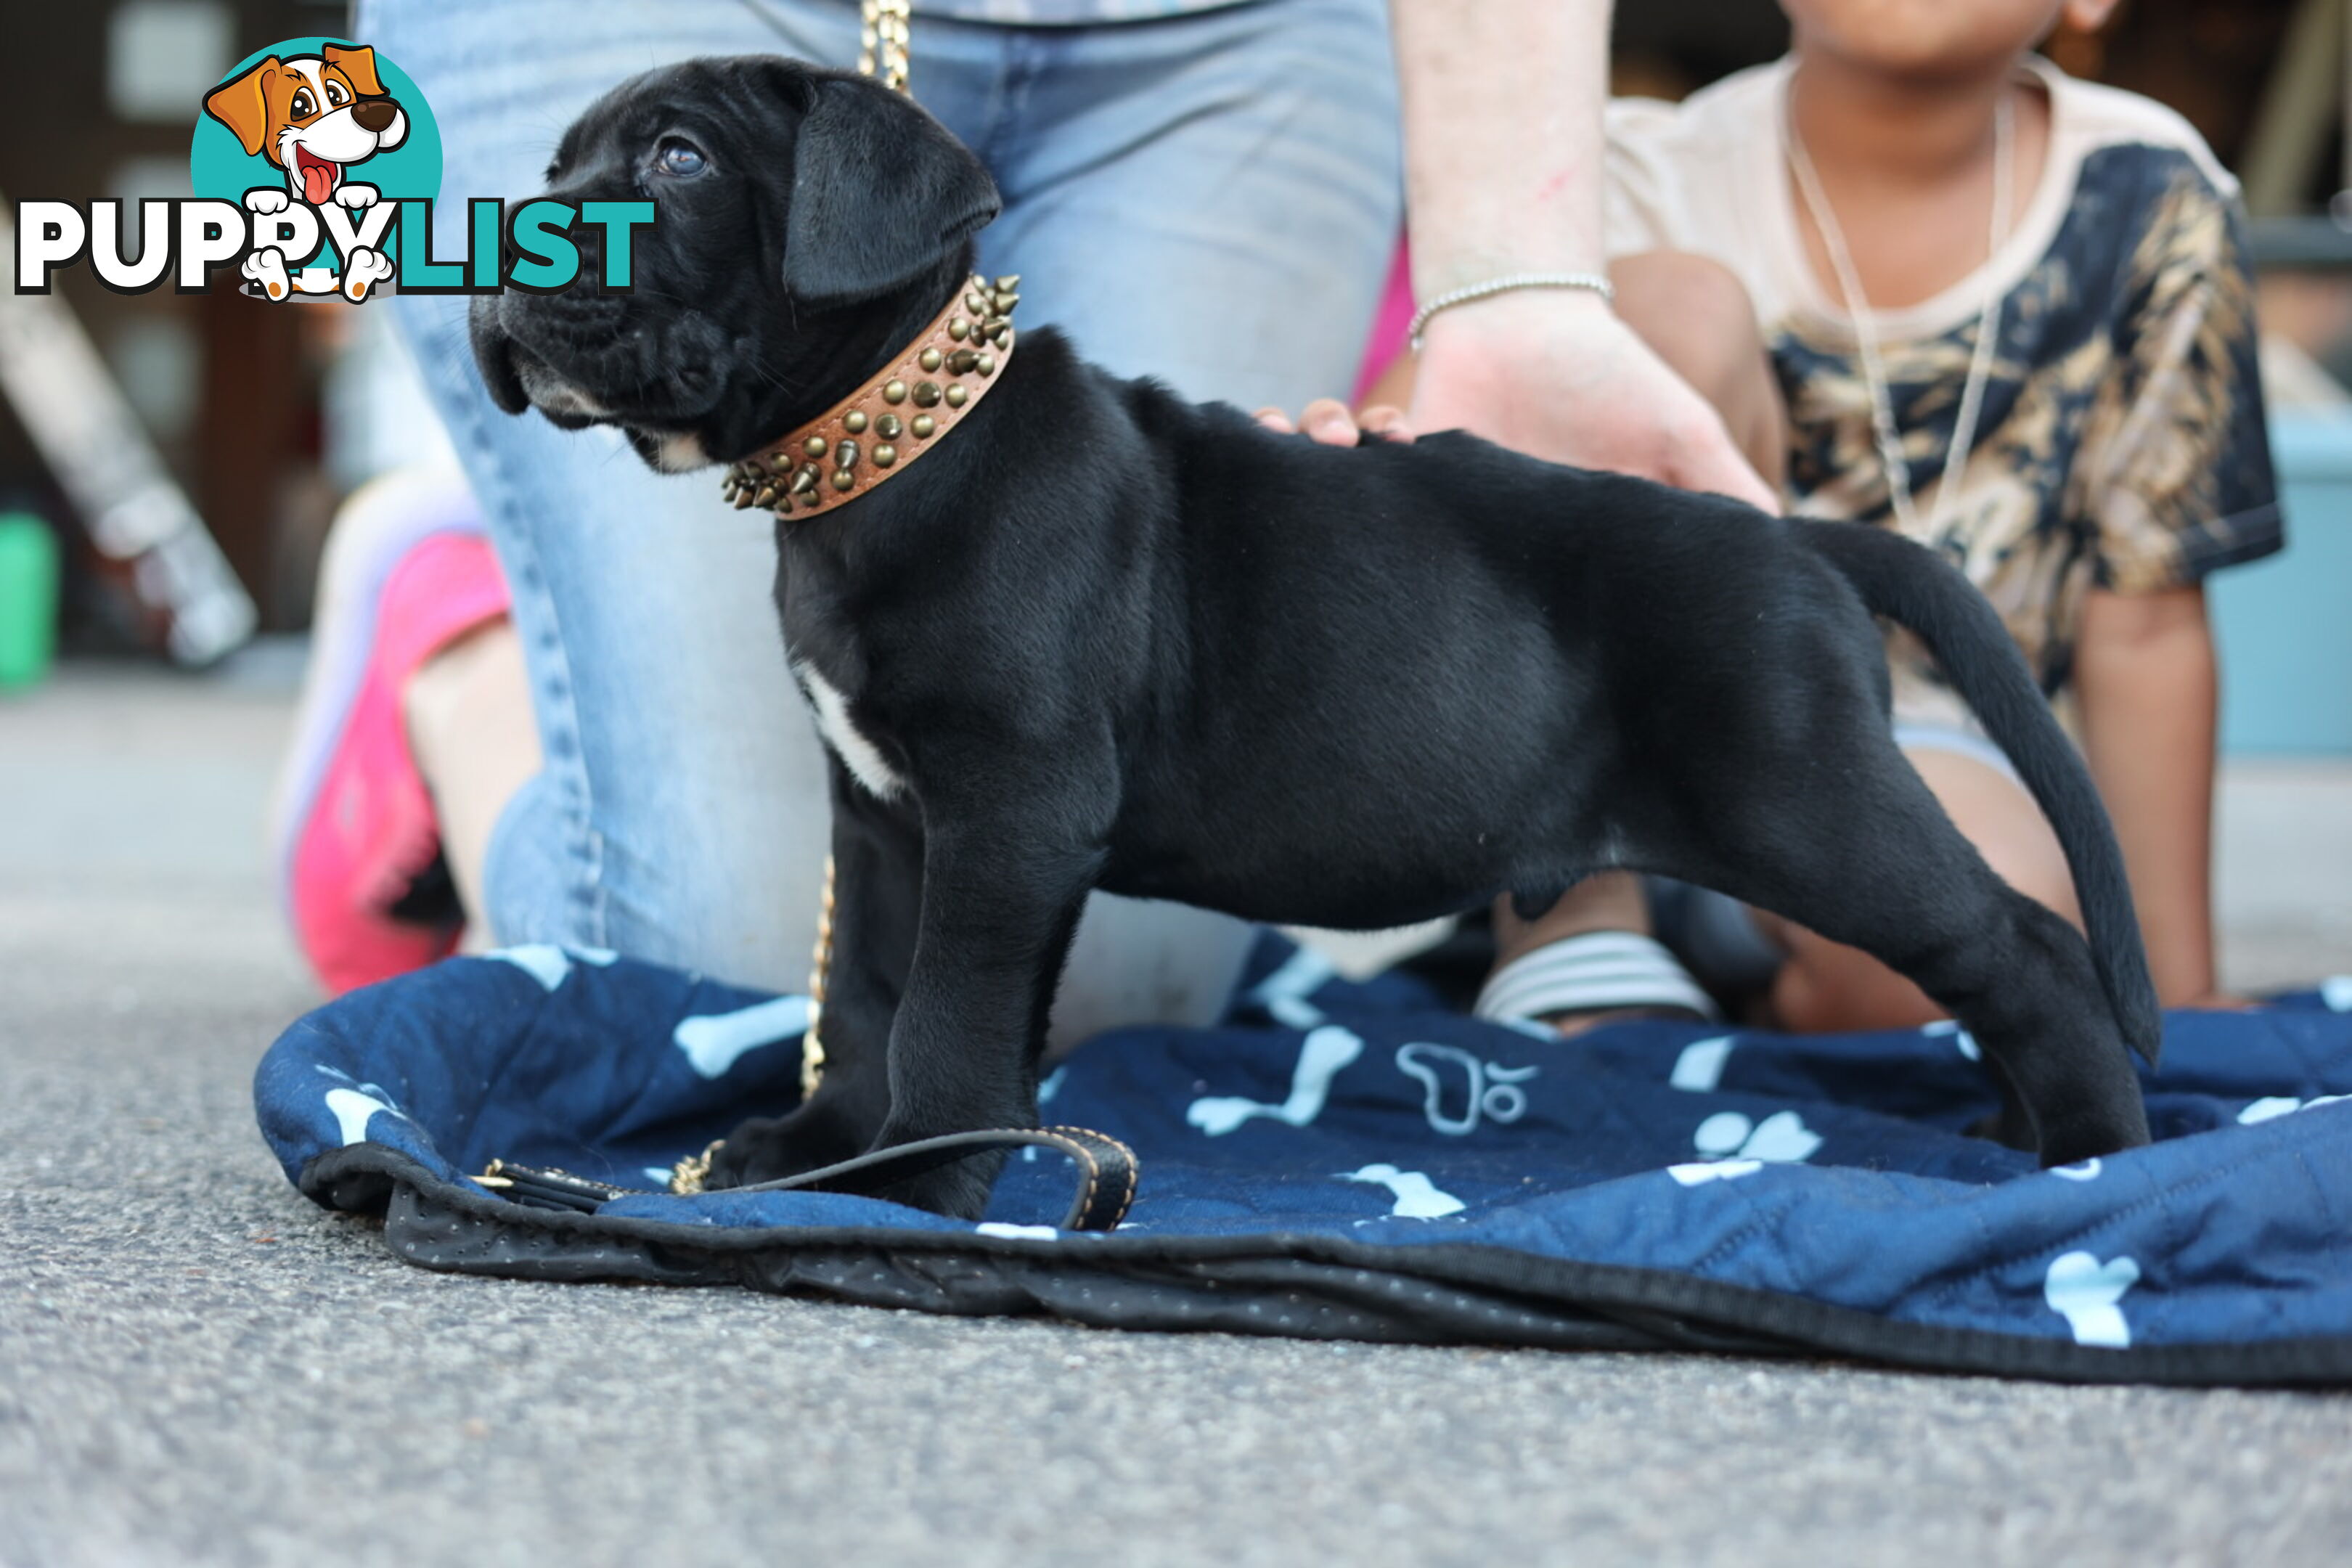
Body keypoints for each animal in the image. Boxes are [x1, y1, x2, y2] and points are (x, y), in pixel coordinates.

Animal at [467, 58, 2154, 1213]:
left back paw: (2095, 1164)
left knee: (2026, 944)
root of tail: (1798, 537)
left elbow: (945, 1014)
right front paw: (810, 1156)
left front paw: (915, 1186)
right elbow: (863, 996)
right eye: (557, 163)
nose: (496, 249)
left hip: (1805, 804)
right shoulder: (885, 819)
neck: (889, 454)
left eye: (677, 158)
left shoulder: (1010, 808)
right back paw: (2021, 1134)